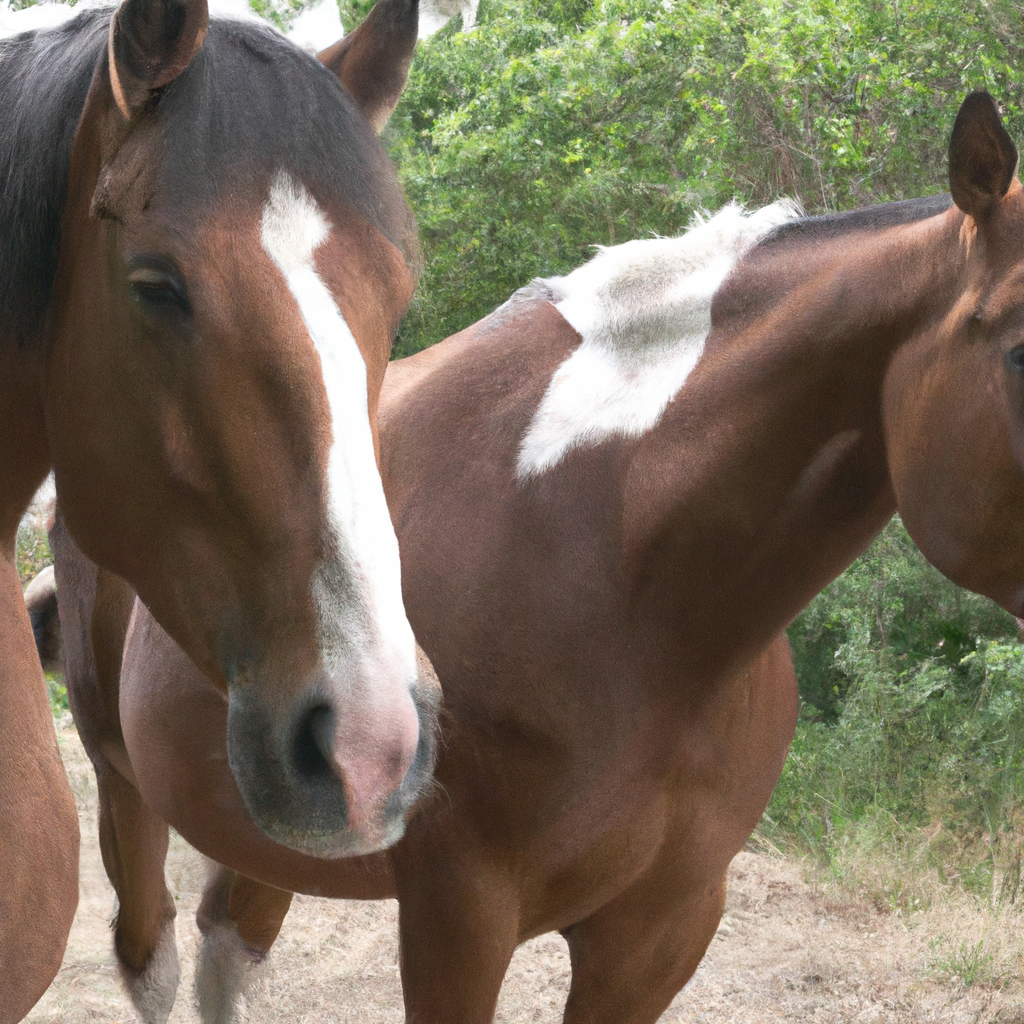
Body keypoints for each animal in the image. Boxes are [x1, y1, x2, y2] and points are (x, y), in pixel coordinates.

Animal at [56, 92, 1024, 1019]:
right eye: (1017, 353)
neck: (627, 583)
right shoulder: (459, 916)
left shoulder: (664, 930)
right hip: (127, 783)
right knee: (153, 950)